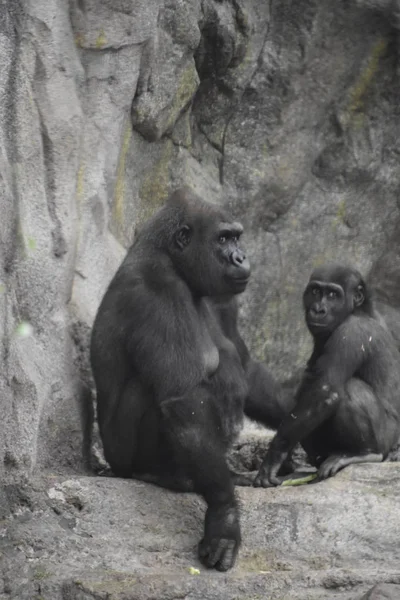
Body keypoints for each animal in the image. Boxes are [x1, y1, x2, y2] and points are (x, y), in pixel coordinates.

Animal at [90, 188, 288, 572]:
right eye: (223, 239)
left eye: (237, 237)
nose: (241, 256)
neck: (172, 260)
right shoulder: (156, 292)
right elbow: (182, 400)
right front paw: (225, 517)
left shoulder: (223, 299)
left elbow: (246, 367)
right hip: (121, 460)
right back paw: (159, 474)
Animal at [255, 262, 400, 488]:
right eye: (315, 291)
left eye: (333, 295)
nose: (318, 309)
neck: (358, 310)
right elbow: (307, 390)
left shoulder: (351, 333)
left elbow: (324, 391)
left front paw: (275, 455)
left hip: (387, 440)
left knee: (349, 389)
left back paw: (364, 453)